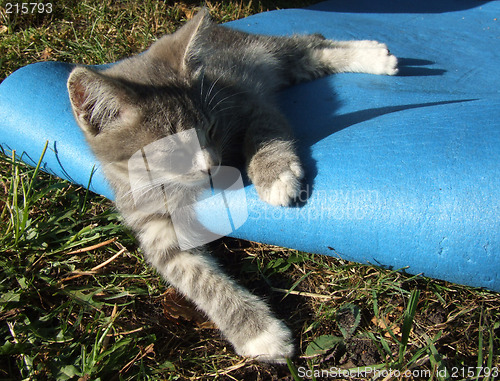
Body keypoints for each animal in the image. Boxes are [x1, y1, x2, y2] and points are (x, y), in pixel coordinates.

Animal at [66, 8, 396, 362]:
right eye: (170, 149)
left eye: (210, 129)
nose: (211, 164)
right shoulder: (152, 222)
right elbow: (193, 276)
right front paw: (258, 332)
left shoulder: (244, 102)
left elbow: (264, 131)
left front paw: (274, 175)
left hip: (257, 51)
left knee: (309, 44)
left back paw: (374, 55)